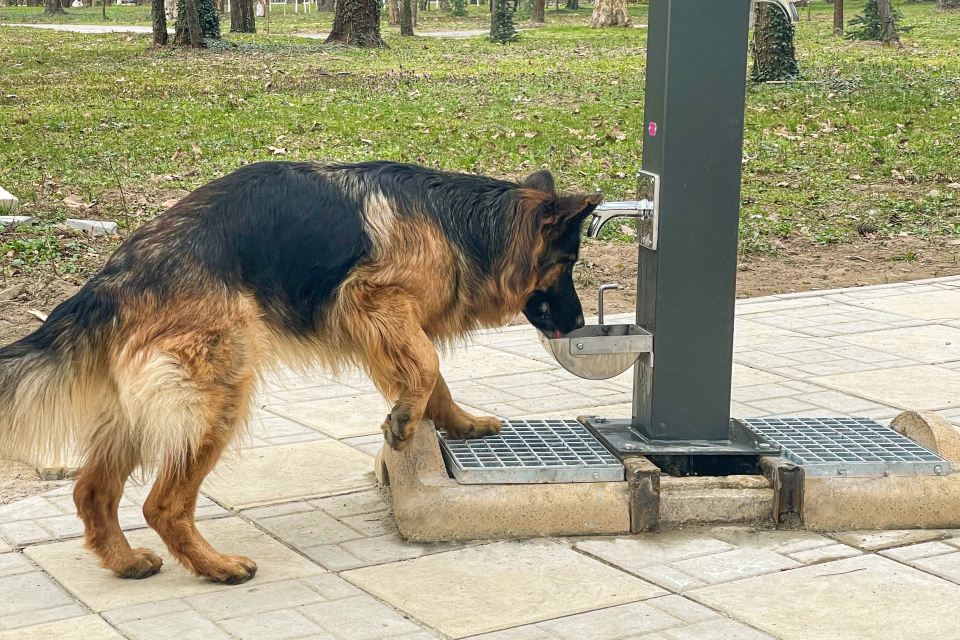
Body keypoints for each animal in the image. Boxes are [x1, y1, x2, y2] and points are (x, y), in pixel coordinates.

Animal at [0, 161, 600, 584]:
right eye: (568, 264)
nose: (578, 323)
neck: (464, 224)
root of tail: (115, 277)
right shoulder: (373, 299)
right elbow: (428, 364)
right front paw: (405, 420)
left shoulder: (387, 326)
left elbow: (434, 376)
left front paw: (458, 422)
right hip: (219, 397)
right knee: (161, 504)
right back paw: (215, 567)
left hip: (142, 413)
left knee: (92, 491)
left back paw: (124, 562)